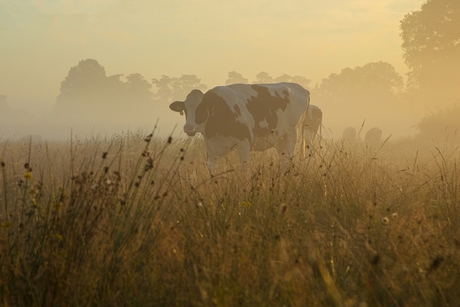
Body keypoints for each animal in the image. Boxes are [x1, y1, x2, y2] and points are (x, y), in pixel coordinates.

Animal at [171, 82, 310, 173]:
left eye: (201, 109)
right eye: (185, 109)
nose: (188, 127)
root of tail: (300, 88)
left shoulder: (244, 144)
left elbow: (243, 170)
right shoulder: (211, 147)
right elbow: (211, 170)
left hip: (293, 134)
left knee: (290, 159)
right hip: (280, 139)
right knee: (283, 160)